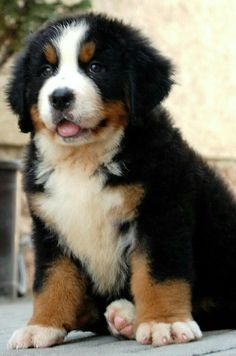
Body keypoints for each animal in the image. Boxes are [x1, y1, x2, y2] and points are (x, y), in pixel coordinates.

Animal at [6, 12, 236, 350]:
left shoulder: (160, 211)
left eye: (95, 67)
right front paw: (42, 326)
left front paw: (164, 323)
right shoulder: (49, 226)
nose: (59, 97)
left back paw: (127, 316)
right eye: (46, 71)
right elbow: (51, 280)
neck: (83, 160)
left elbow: (158, 274)